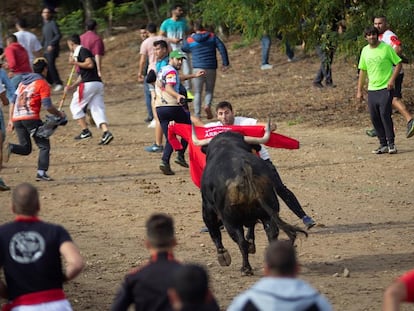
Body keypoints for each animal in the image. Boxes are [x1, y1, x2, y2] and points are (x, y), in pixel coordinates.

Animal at [195, 130, 308, 276]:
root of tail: (244, 169)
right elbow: (252, 227)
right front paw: (251, 244)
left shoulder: (207, 208)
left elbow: (214, 231)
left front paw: (223, 256)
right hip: (268, 211)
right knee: (272, 235)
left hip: (230, 220)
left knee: (240, 241)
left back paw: (245, 268)